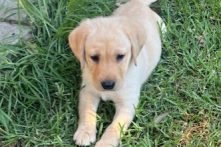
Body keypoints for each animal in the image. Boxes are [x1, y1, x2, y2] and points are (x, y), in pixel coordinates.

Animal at [68, 0, 165, 146]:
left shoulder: (128, 104)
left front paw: (105, 143)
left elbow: (114, 127)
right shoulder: (88, 91)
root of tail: (138, 3)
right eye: (94, 57)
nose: (108, 85)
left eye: (120, 56)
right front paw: (85, 132)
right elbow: (87, 111)